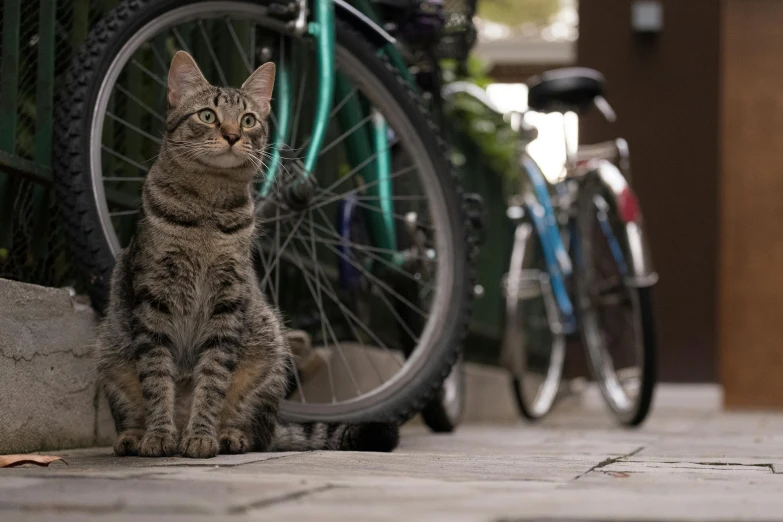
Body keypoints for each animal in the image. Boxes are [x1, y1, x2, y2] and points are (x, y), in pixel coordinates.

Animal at [99, 48, 402, 456]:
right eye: (207, 115)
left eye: (248, 120)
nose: (232, 135)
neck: (208, 211)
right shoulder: (153, 298)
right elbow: (157, 378)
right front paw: (159, 436)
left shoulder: (228, 300)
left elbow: (212, 379)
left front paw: (201, 435)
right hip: (109, 353)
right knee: (132, 408)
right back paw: (133, 436)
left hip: (269, 353)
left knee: (259, 432)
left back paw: (229, 435)